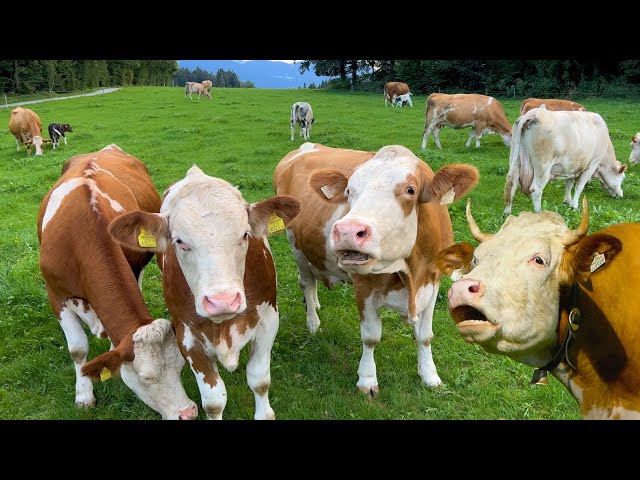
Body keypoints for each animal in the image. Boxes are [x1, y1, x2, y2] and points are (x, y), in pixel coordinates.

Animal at [37, 144, 198, 420]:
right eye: (146, 378)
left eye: (180, 368)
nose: (188, 413)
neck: (81, 237)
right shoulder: (55, 294)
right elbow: (77, 349)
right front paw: (83, 395)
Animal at [108, 166, 300, 419]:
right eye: (180, 241)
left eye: (245, 235)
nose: (222, 301)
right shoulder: (187, 337)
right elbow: (214, 402)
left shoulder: (268, 321)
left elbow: (259, 381)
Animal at [273, 142, 479, 396]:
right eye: (349, 190)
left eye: (410, 190)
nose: (348, 230)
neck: (411, 272)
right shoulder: (364, 287)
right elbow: (371, 337)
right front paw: (367, 380)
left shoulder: (433, 281)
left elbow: (425, 336)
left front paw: (429, 375)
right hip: (295, 244)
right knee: (307, 282)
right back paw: (313, 321)